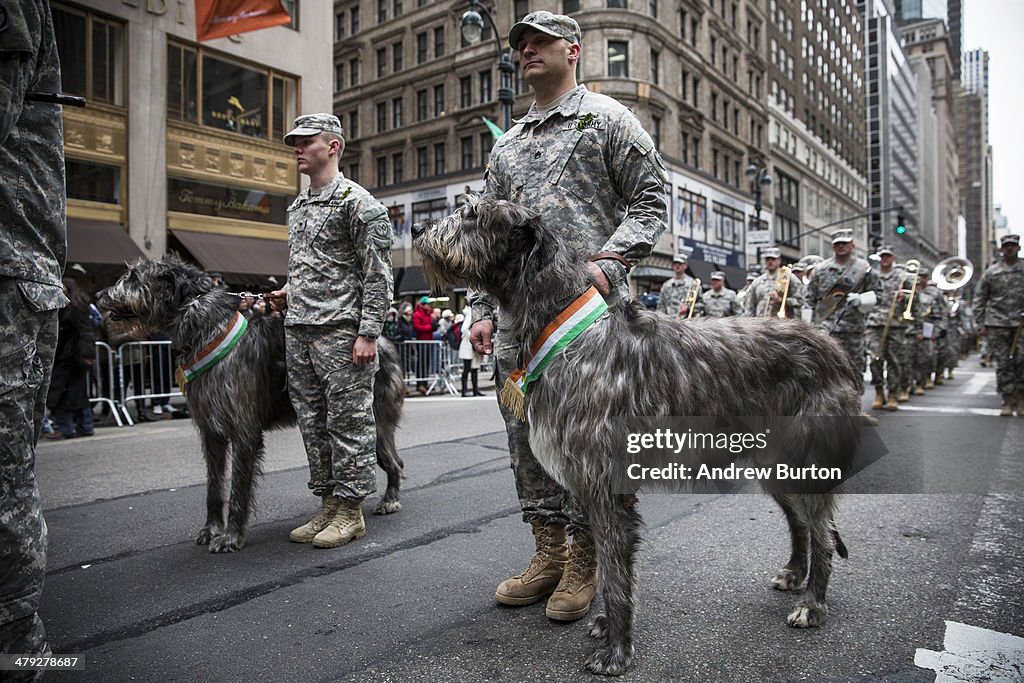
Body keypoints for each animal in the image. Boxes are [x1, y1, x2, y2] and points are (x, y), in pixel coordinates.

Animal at [97, 259, 403, 552]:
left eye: (134, 277)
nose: (100, 295)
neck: (208, 331)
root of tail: (386, 343)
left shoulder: (244, 429)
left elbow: (238, 487)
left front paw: (231, 537)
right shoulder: (211, 431)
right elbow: (214, 485)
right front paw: (211, 530)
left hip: (369, 420)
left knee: (391, 461)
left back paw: (388, 501)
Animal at [411, 197, 860, 679]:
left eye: (473, 214)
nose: (416, 228)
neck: (570, 333)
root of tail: (833, 347)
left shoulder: (606, 483)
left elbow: (614, 571)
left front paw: (616, 650)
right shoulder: (588, 481)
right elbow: (608, 566)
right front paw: (608, 628)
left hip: (804, 454)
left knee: (821, 533)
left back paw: (813, 604)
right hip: (774, 463)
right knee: (800, 521)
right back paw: (795, 574)